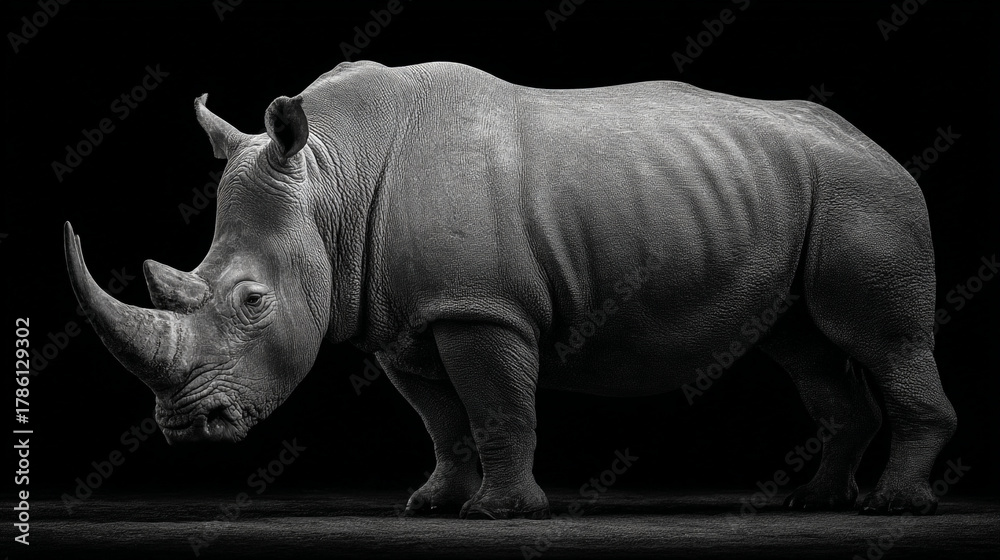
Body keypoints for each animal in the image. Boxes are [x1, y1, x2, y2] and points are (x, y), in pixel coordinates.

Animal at [64, 60, 956, 519]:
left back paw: (891, 507)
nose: (189, 427)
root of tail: (872, 142)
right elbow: (442, 420)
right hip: (795, 194)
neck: (329, 174)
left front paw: (502, 514)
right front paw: (432, 503)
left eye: (252, 302)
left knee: (882, 338)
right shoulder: (404, 319)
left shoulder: (480, 308)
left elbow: (498, 407)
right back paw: (815, 501)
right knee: (805, 346)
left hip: (865, 195)